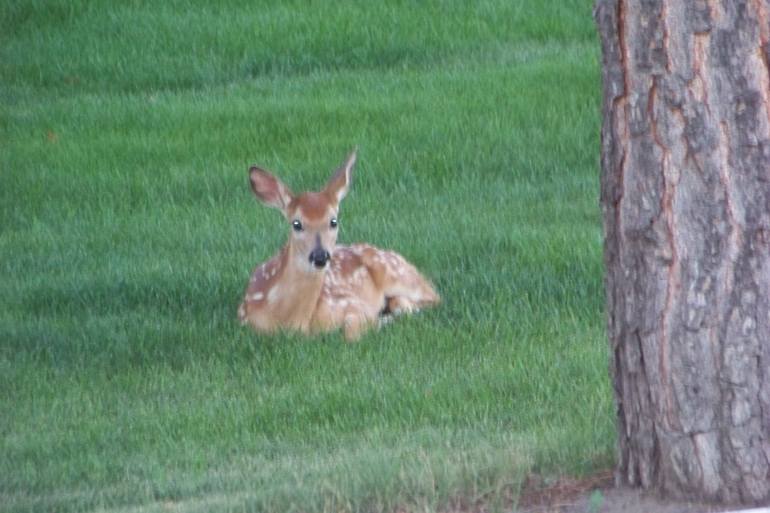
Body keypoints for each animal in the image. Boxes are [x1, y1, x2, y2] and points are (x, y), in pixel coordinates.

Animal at [236, 149, 438, 340]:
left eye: (333, 221)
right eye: (296, 224)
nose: (320, 256)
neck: (289, 320)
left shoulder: (350, 303)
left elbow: (351, 333)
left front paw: (379, 321)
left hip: (395, 272)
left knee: (433, 298)